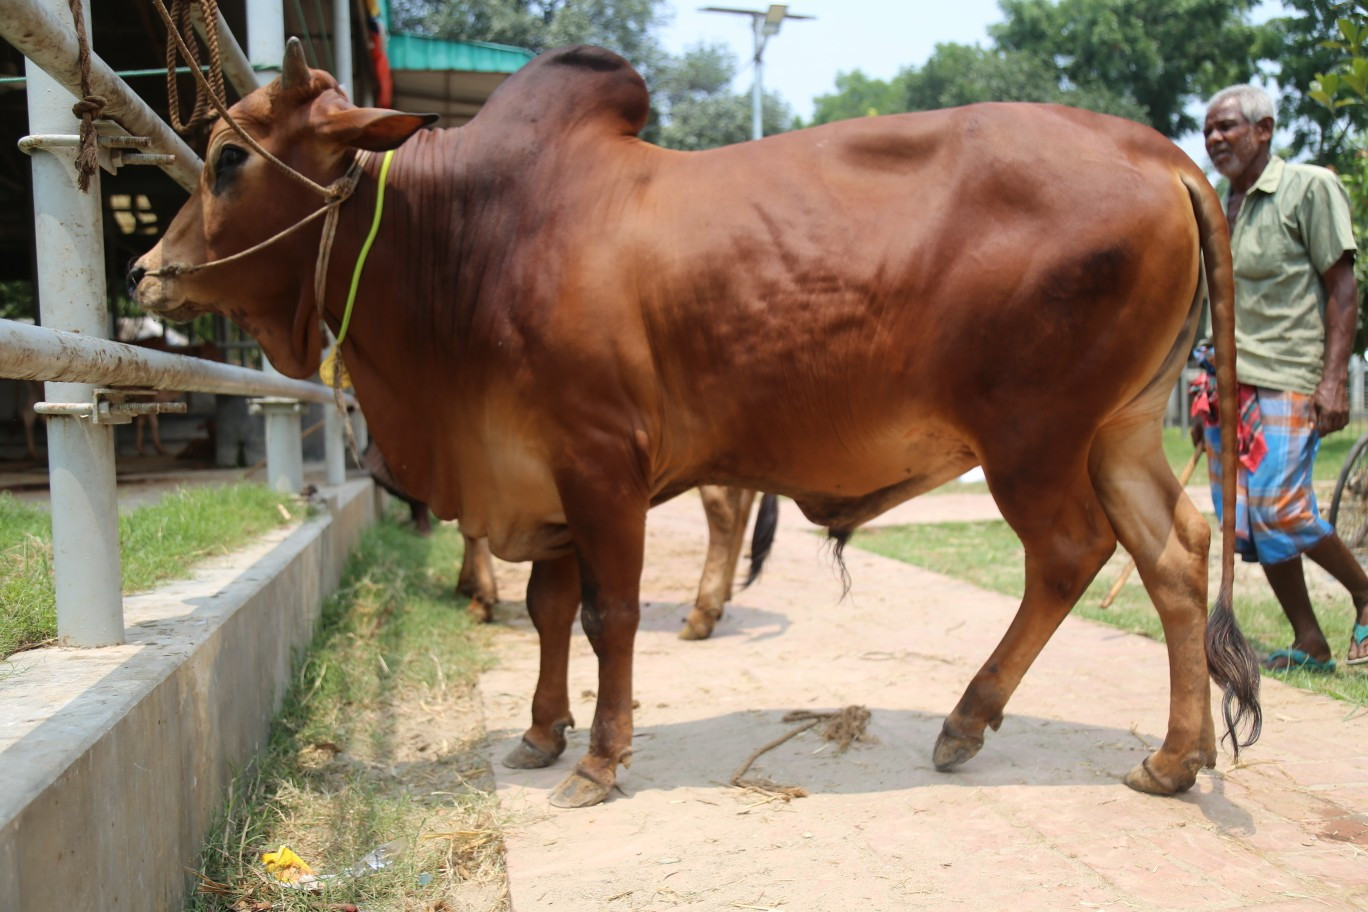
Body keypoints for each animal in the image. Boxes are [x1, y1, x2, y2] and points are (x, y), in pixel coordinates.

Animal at [131, 41, 1261, 808]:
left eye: (227, 158)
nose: (146, 270)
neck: (468, 239)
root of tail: (1161, 154)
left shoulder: (601, 466)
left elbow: (610, 615)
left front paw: (598, 759)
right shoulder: (541, 473)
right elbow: (549, 608)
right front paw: (540, 734)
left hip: (1033, 438)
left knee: (1069, 554)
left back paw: (968, 720)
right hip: (1119, 430)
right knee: (1176, 553)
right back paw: (1174, 758)